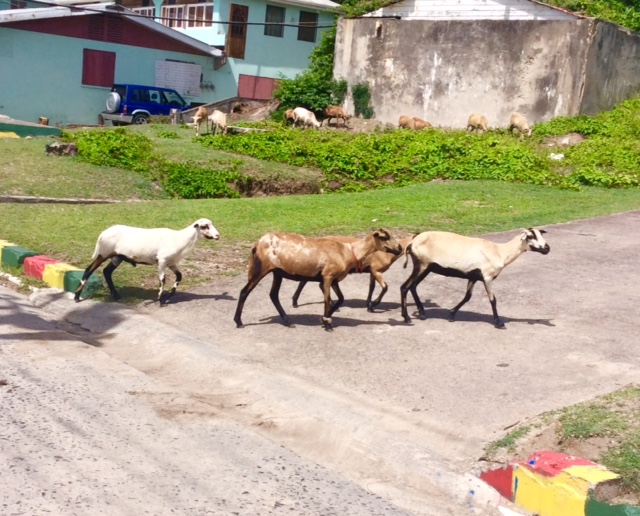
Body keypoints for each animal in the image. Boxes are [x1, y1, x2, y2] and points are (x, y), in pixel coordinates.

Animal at [74, 219, 220, 304]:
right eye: (204, 226)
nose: (217, 236)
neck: (180, 239)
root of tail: (103, 233)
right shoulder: (162, 260)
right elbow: (162, 280)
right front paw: (160, 299)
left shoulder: (171, 262)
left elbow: (179, 276)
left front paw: (168, 297)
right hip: (103, 253)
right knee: (89, 270)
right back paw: (77, 297)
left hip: (117, 257)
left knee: (106, 272)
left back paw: (116, 296)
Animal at [233, 229, 402, 331]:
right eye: (385, 237)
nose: (399, 248)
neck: (348, 251)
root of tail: (256, 244)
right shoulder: (327, 276)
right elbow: (327, 300)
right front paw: (327, 323)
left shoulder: (333, 279)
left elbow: (340, 299)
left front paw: (326, 318)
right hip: (261, 268)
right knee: (244, 292)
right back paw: (239, 322)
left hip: (277, 272)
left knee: (273, 295)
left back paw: (288, 321)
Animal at [400, 228, 550, 328]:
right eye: (530, 236)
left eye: (540, 235)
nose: (547, 248)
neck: (500, 252)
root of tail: (412, 242)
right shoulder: (487, 277)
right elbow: (493, 300)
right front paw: (498, 322)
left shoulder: (473, 276)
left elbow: (467, 297)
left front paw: (451, 315)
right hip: (422, 264)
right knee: (405, 287)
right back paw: (407, 318)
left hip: (427, 267)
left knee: (413, 286)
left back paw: (422, 313)